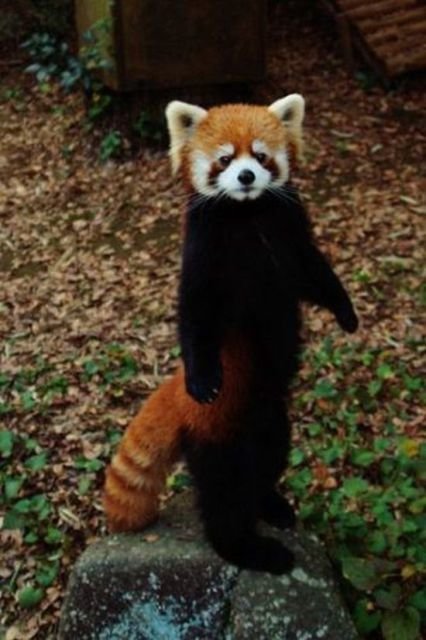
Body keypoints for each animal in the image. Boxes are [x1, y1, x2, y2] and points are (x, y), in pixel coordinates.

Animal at [103, 96, 356, 576]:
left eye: (260, 155)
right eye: (224, 159)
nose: (245, 177)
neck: (247, 213)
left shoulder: (289, 231)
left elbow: (316, 274)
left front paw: (347, 314)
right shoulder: (204, 250)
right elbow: (194, 315)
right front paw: (203, 377)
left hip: (270, 420)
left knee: (268, 461)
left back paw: (272, 504)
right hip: (218, 438)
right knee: (225, 500)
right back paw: (253, 550)